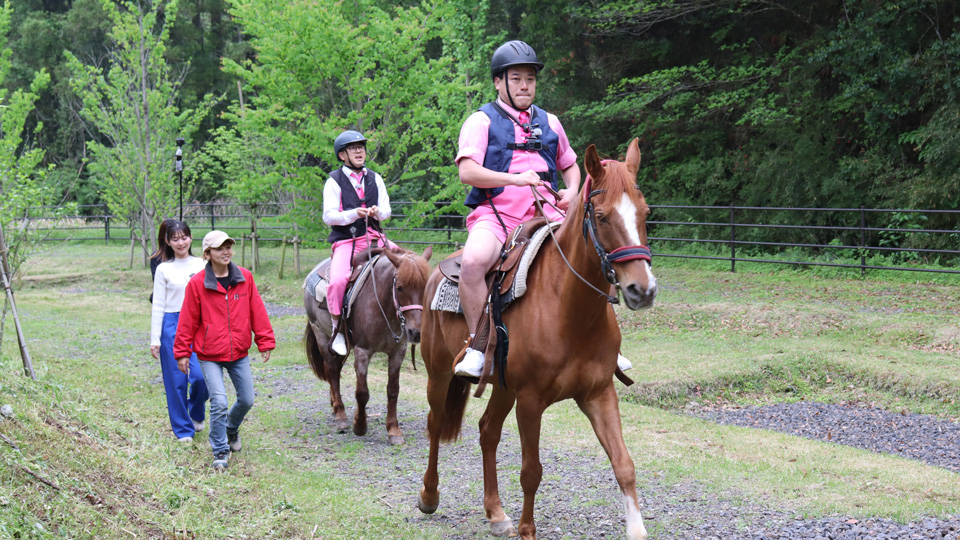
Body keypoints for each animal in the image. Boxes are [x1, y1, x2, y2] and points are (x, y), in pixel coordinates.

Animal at [303, 245, 433, 445]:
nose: (416, 332)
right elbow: (362, 392)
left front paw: (393, 430)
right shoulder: (363, 351)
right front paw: (360, 425)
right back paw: (340, 415)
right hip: (321, 334)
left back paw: (334, 406)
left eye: (425, 286)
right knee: (332, 370)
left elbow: (393, 391)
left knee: (335, 371)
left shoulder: (398, 352)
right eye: (400, 287)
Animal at [416, 139, 656, 540]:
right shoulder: (530, 401)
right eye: (602, 216)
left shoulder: (599, 393)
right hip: (440, 374)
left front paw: (637, 529)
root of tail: (436, 273)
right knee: (435, 424)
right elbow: (531, 471)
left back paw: (496, 512)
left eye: (645, 213)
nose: (643, 289)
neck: (571, 311)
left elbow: (624, 464)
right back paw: (429, 496)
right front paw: (527, 529)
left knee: (487, 431)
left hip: (502, 386)